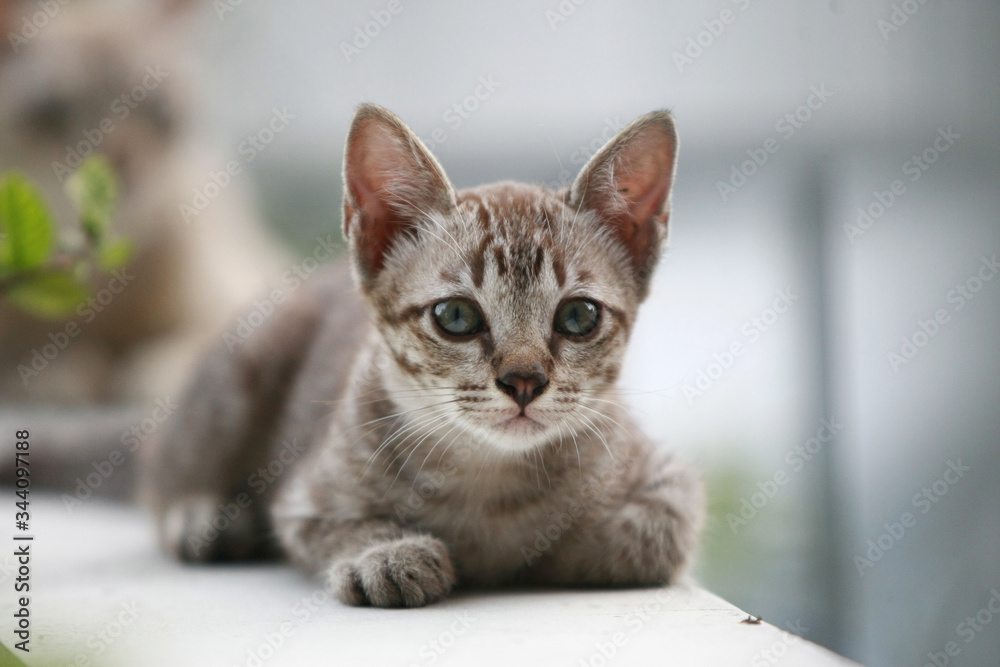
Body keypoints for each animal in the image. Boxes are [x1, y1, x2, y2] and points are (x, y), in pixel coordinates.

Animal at [0, 0, 286, 402]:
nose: (124, 159)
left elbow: (196, 347)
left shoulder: (247, 297)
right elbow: (32, 367)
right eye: (49, 112)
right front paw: (63, 372)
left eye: (161, 111)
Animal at [145, 103, 704, 604]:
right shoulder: (305, 498)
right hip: (246, 373)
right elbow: (335, 528)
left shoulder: (671, 488)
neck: (489, 477)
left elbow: (639, 538)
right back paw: (203, 517)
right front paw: (389, 552)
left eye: (579, 316)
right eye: (455, 316)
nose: (524, 381)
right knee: (165, 476)